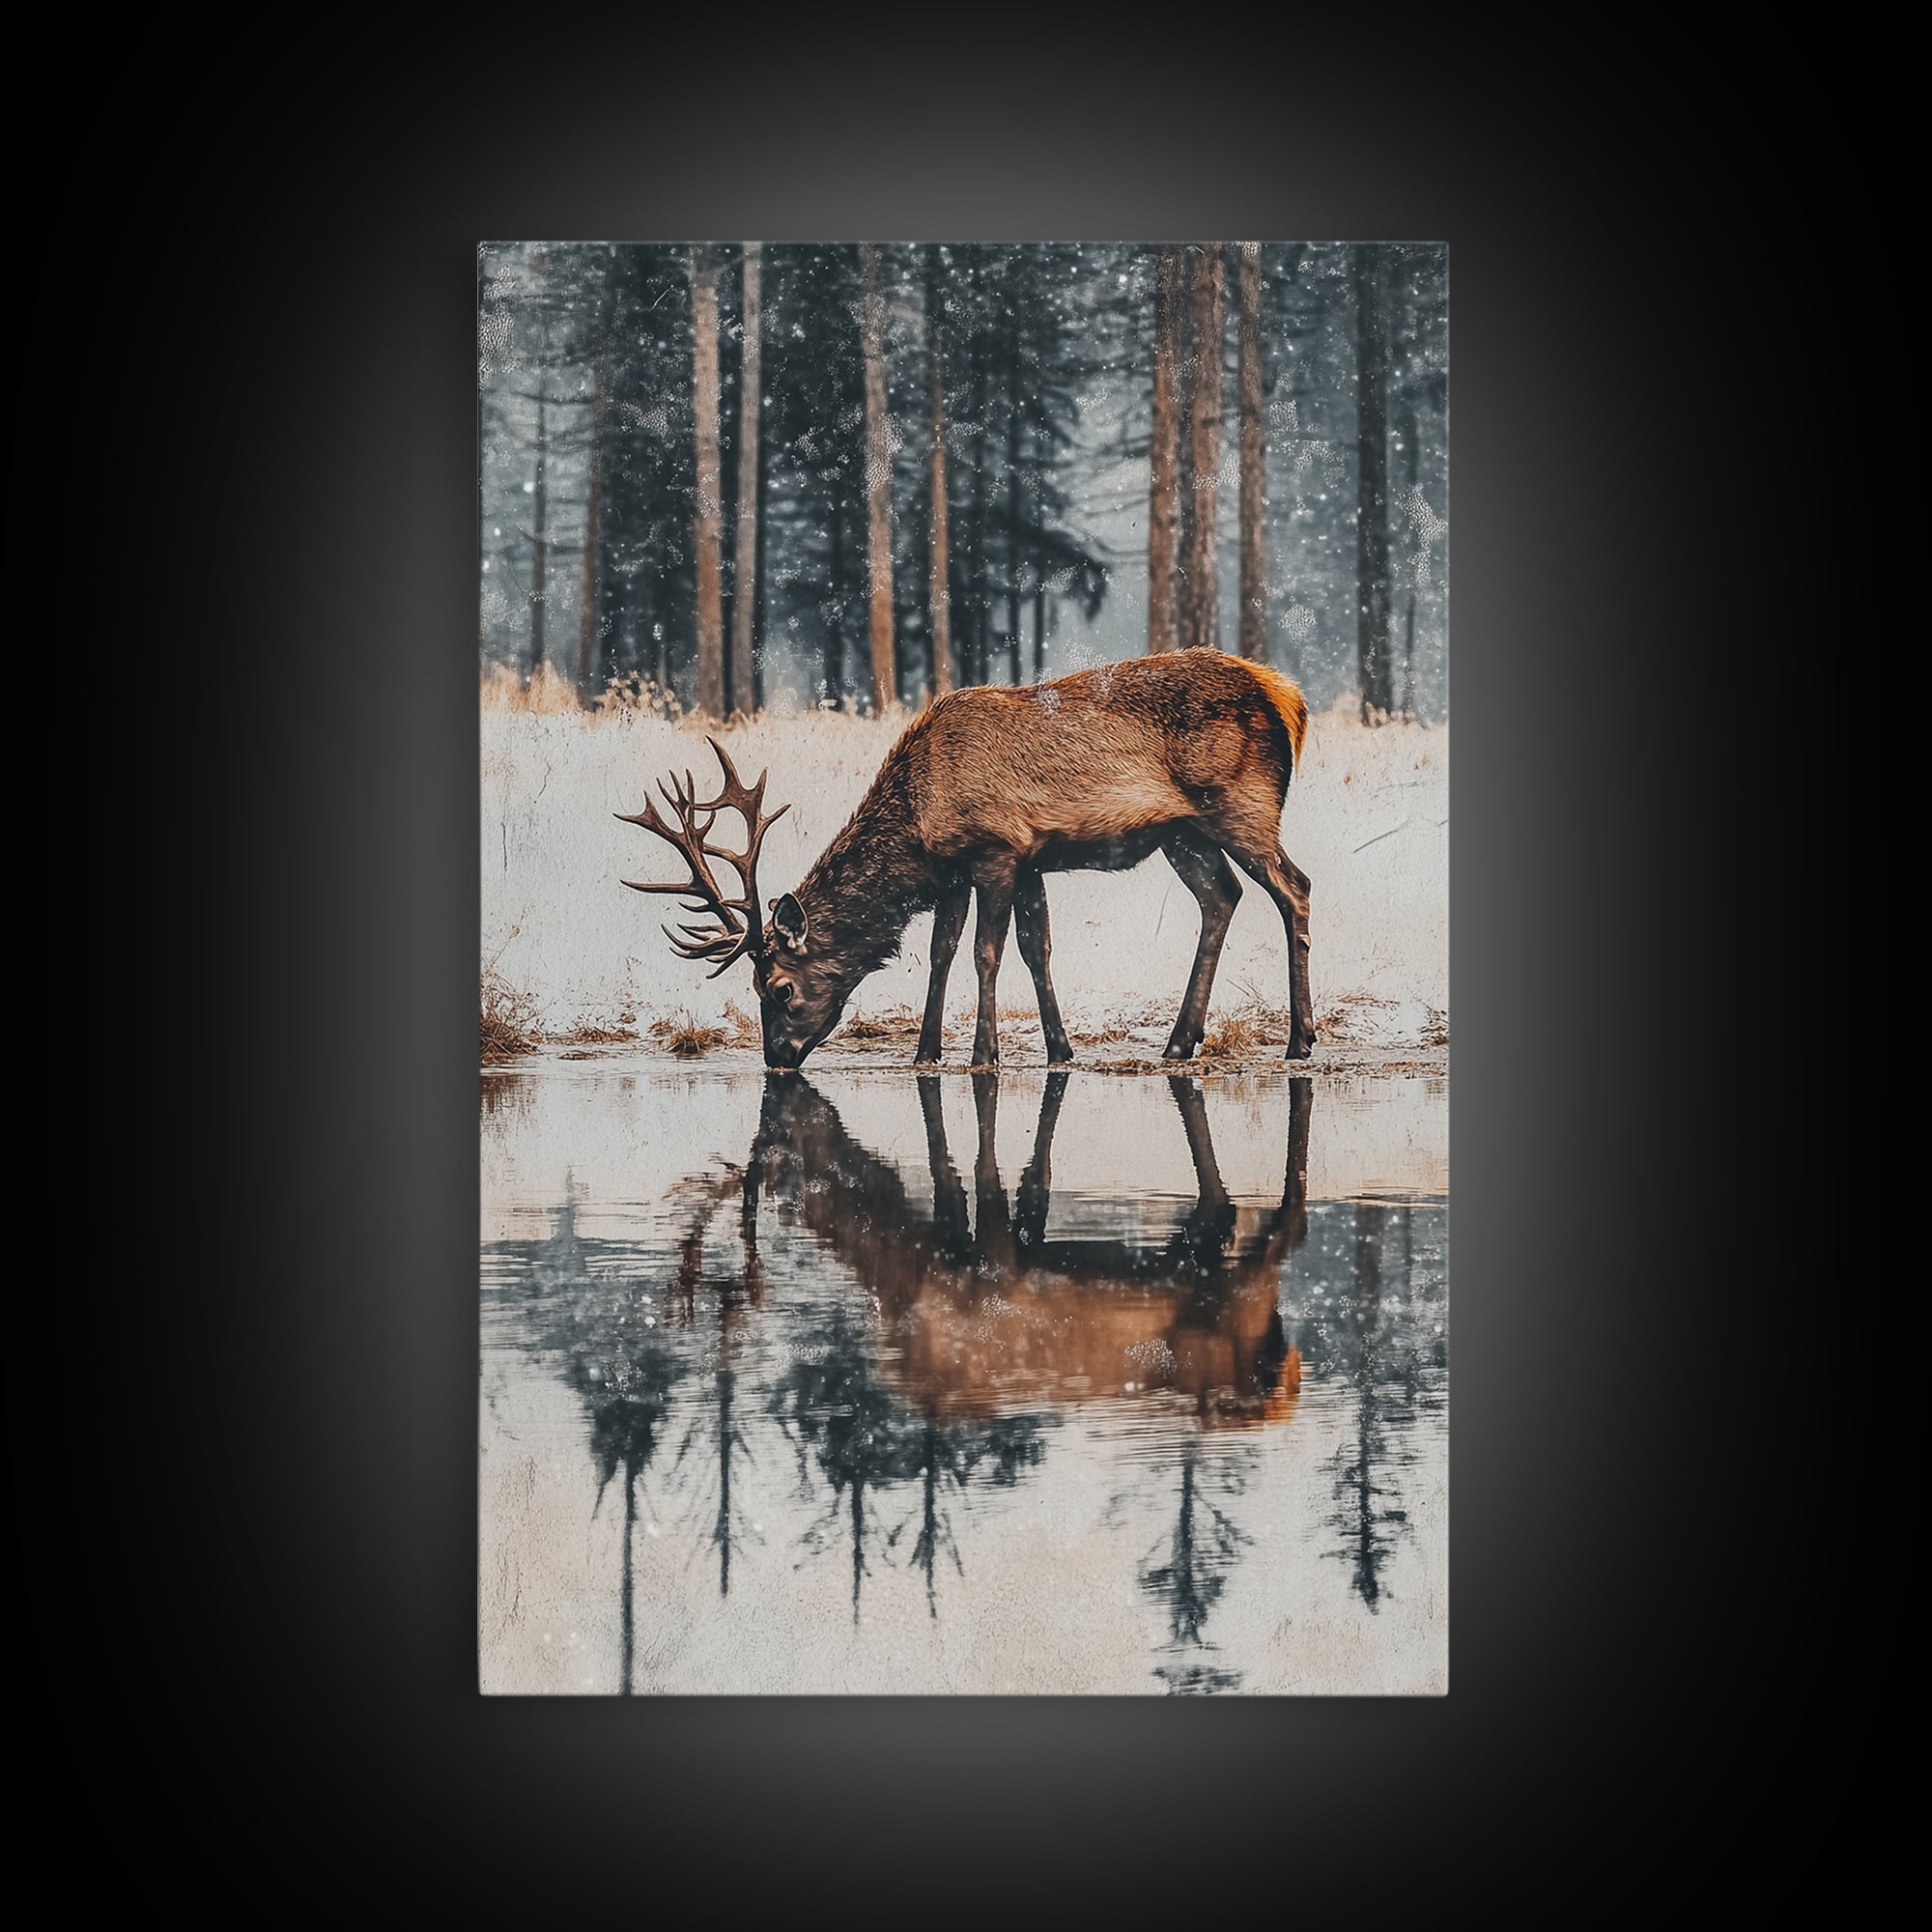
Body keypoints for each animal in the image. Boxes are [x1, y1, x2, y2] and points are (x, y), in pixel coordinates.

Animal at [619, 647, 1315, 1070]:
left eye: (779, 987)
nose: (776, 1057)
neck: (920, 820)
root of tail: (1289, 697)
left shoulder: (997, 849)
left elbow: (988, 951)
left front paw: (985, 1053)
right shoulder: (987, 867)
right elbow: (968, 951)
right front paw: (947, 1051)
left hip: (1241, 803)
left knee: (1295, 887)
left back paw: (1299, 1039)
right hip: (1184, 833)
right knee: (1221, 897)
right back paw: (1179, 1040)